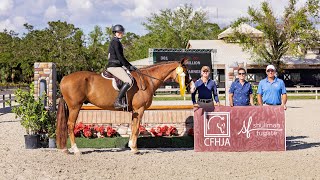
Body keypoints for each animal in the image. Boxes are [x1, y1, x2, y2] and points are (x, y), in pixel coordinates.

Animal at [56, 58, 194, 154]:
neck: (147, 80)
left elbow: (133, 127)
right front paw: (135, 149)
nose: (192, 88)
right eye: (186, 72)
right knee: (70, 125)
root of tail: (64, 78)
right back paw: (76, 150)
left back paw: (66, 149)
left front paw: (131, 146)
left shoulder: (135, 111)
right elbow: (137, 128)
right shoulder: (140, 109)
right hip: (75, 107)